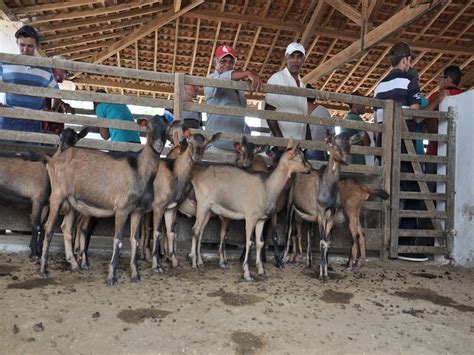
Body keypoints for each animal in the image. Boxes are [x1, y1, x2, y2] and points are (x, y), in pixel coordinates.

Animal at [0, 128, 88, 258]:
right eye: (60, 136)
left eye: (76, 138)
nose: (65, 147)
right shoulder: (37, 198)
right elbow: (36, 224)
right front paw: (34, 254)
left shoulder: (46, 203)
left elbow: (42, 224)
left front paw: (37, 249)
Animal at [39, 115, 168, 288]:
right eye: (149, 127)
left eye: (166, 128)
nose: (159, 145)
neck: (139, 170)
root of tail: (52, 162)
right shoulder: (122, 208)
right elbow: (118, 240)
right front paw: (112, 277)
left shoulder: (137, 211)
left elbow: (135, 240)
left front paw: (135, 275)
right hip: (58, 195)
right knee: (48, 227)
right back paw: (43, 270)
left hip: (71, 201)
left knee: (66, 227)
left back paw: (74, 265)